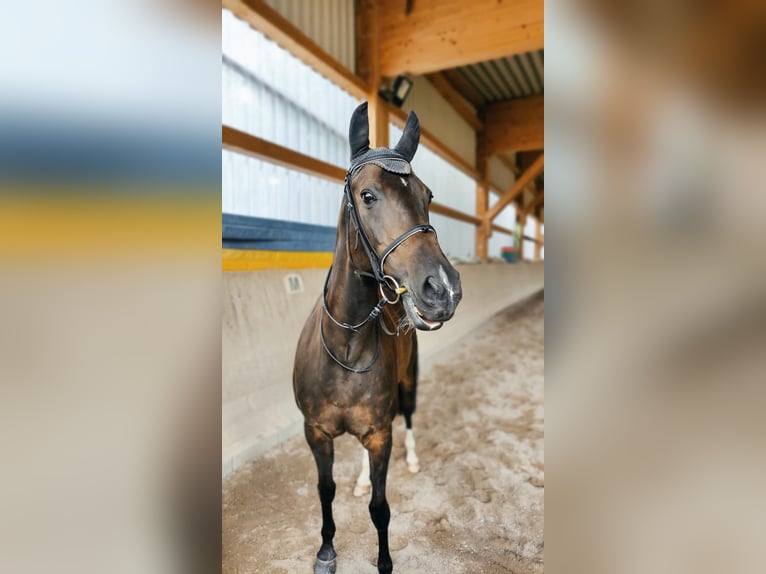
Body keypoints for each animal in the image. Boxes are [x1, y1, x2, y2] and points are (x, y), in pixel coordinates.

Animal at [292, 103, 462, 574]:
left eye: (427, 196)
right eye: (367, 195)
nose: (443, 289)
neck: (347, 347)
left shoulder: (380, 435)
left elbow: (381, 509)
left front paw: (384, 563)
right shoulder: (316, 433)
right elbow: (325, 491)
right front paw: (326, 552)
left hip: (409, 384)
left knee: (409, 418)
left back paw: (413, 459)